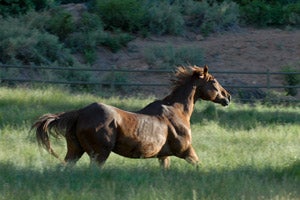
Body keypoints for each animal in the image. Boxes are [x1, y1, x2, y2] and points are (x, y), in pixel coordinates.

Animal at [31, 65, 231, 169]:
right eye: (213, 80)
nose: (227, 97)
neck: (177, 111)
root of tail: (80, 113)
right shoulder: (186, 151)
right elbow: (198, 166)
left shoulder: (163, 156)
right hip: (99, 154)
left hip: (75, 151)